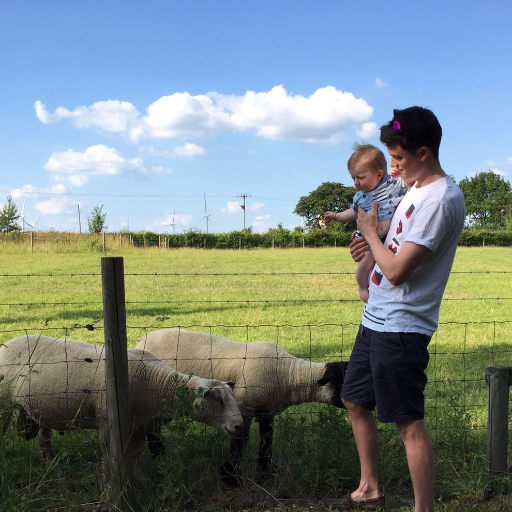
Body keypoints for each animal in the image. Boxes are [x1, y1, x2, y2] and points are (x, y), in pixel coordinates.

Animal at [0, 334, 244, 482]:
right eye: (217, 398)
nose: (239, 425)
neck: (157, 384)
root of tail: (8, 342)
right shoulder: (108, 423)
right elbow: (111, 458)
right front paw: (112, 482)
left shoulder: (139, 427)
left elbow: (137, 456)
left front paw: (142, 480)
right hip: (3, 401)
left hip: (43, 408)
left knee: (43, 439)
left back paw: (53, 467)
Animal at [134, 328, 348, 484]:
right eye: (345, 380)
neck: (288, 374)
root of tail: (141, 339)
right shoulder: (244, 406)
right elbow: (240, 440)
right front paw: (230, 478)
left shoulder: (267, 411)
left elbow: (267, 441)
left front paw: (267, 471)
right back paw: (159, 454)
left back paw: (160, 455)